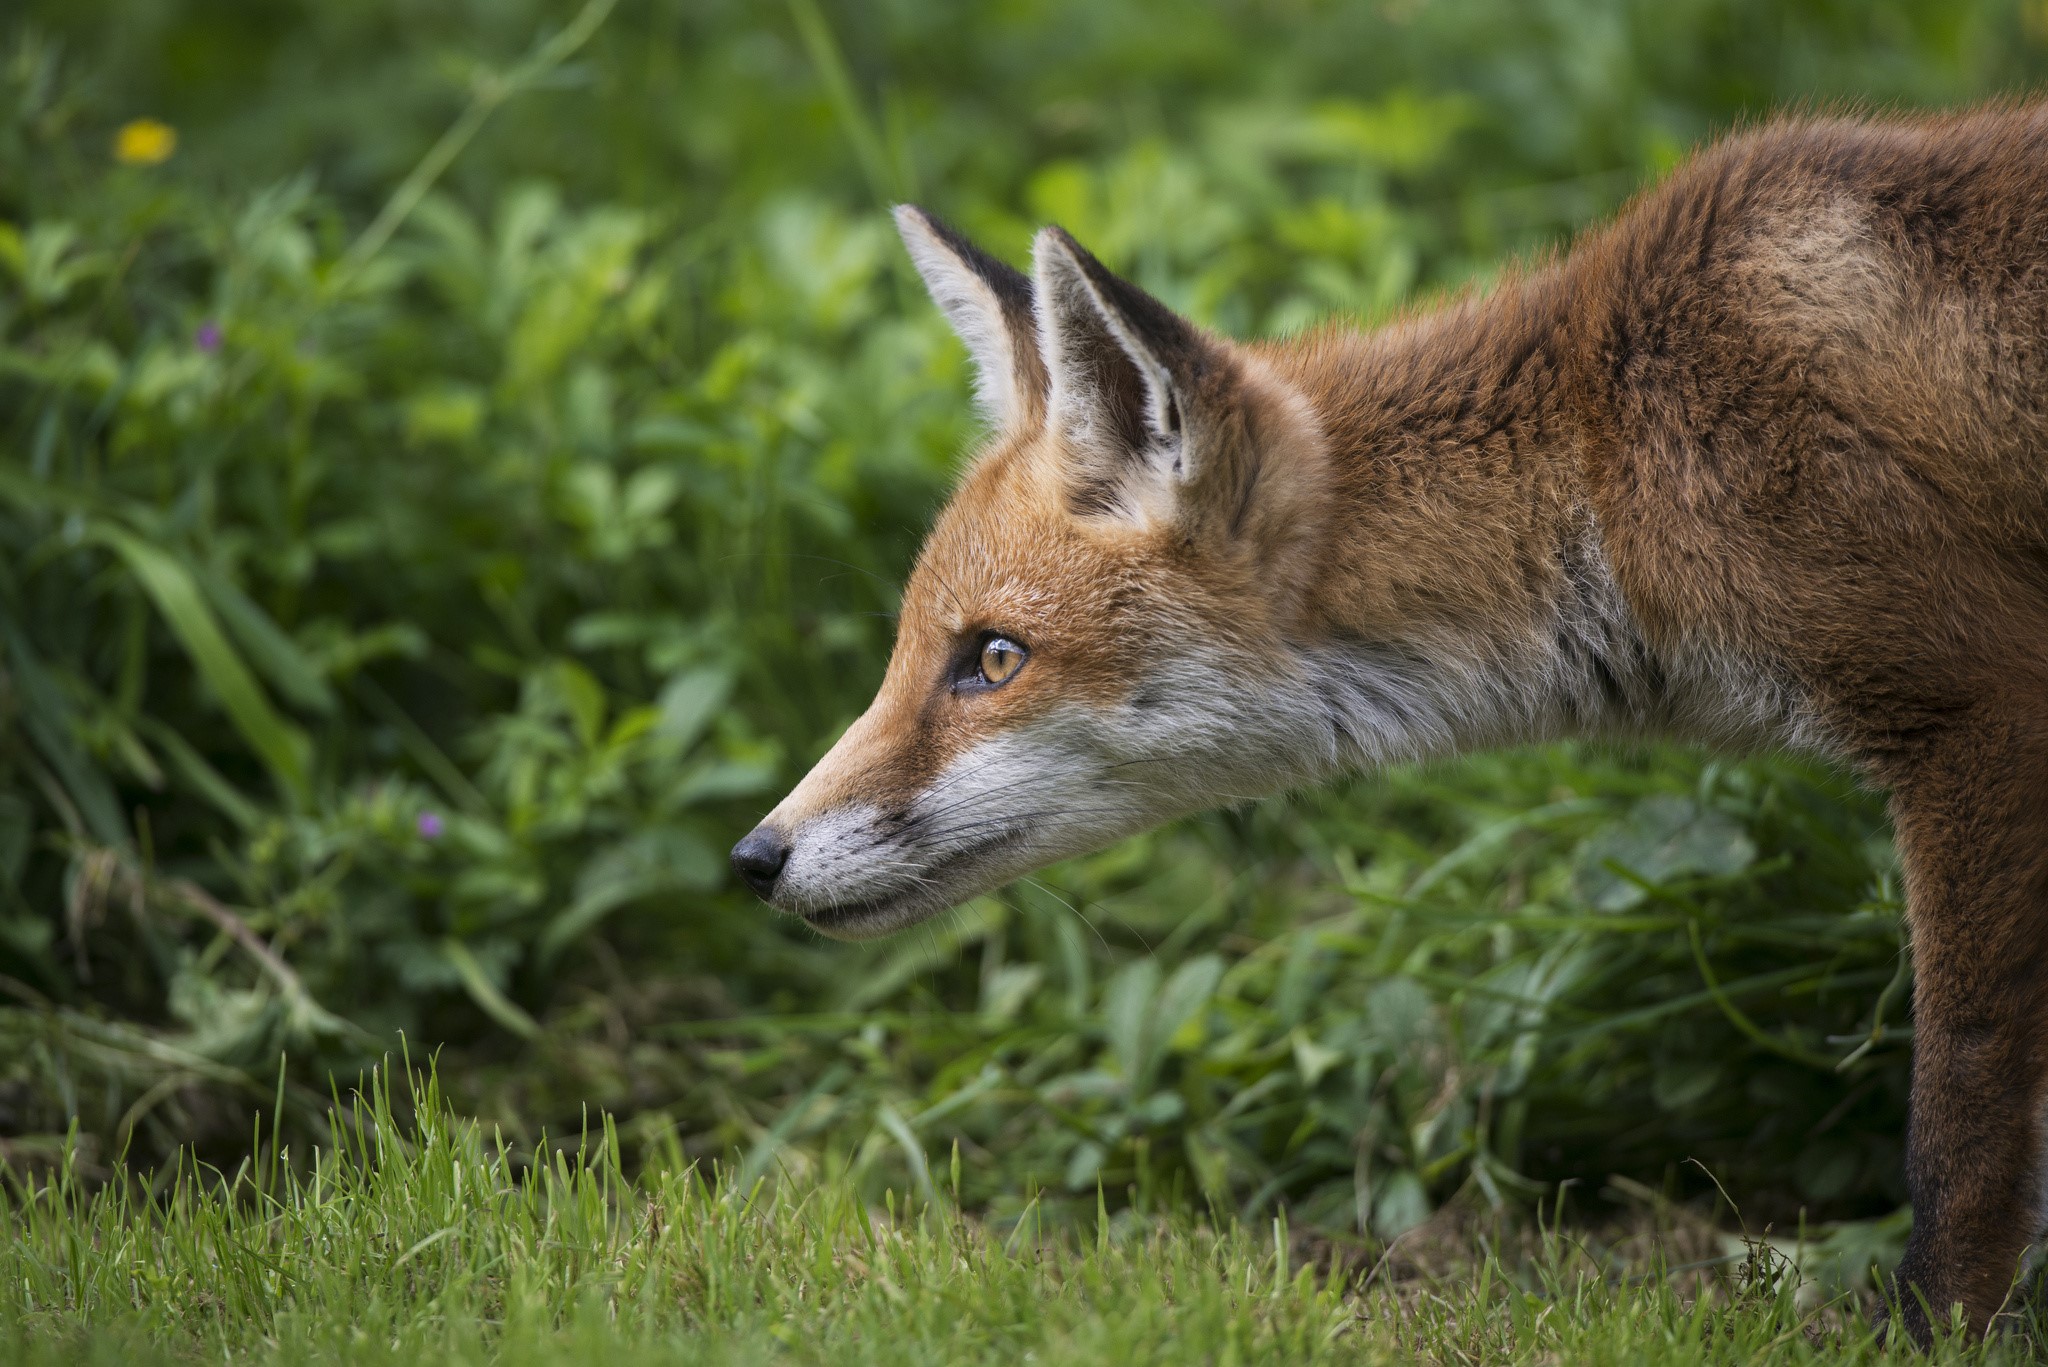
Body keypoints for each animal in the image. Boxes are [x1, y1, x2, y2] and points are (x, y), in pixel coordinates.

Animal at [730, 104, 2048, 1338]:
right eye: (912, 650)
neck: (1607, 445)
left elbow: (1960, 1102)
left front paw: (1933, 1329)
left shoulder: (1976, 702)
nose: (752, 857)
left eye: (993, 658)